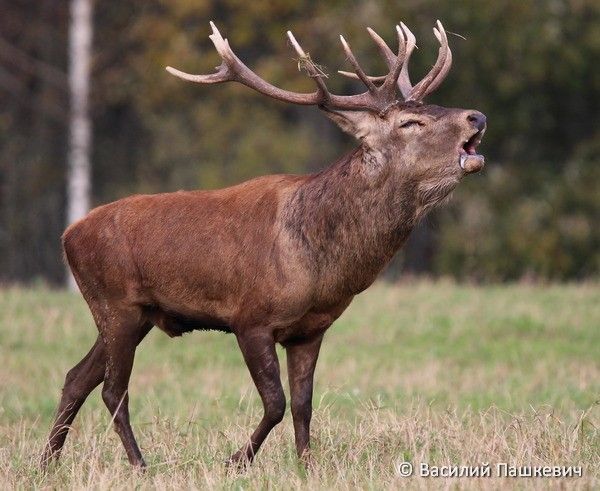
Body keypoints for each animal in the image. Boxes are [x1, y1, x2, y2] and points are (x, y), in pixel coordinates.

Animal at [42, 20, 486, 469]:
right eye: (410, 122)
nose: (478, 115)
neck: (323, 267)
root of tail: (67, 235)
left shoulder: (311, 329)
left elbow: (304, 405)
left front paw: (307, 466)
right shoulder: (251, 318)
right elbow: (276, 403)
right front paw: (236, 460)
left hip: (136, 315)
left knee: (76, 377)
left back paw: (47, 461)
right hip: (116, 305)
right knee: (112, 390)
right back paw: (139, 465)